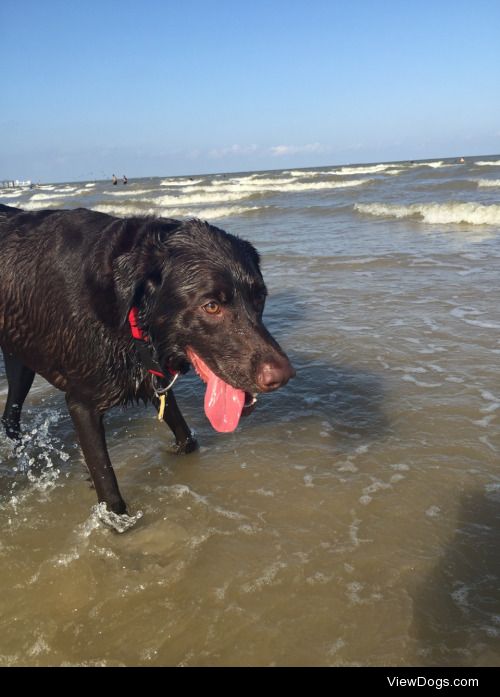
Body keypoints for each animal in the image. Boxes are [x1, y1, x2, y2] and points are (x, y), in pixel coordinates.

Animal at [0, 204, 292, 520]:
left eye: (260, 297)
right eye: (212, 306)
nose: (282, 376)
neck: (126, 309)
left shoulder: (153, 379)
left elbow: (186, 438)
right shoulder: (81, 404)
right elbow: (106, 482)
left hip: (19, 361)